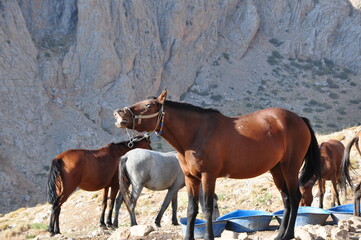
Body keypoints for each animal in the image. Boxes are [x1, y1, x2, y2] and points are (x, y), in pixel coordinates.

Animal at [113, 90, 320, 240]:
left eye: (148, 105)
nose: (119, 113)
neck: (195, 134)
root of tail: (300, 119)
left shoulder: (208, 176)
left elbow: (207, 208)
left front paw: (209, 236)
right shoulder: (190, 178)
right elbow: (192, 210)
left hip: (290, 167)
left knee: (295, 198)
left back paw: (289, 234)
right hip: (276, 169)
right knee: (286, 199)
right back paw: (280, 235)